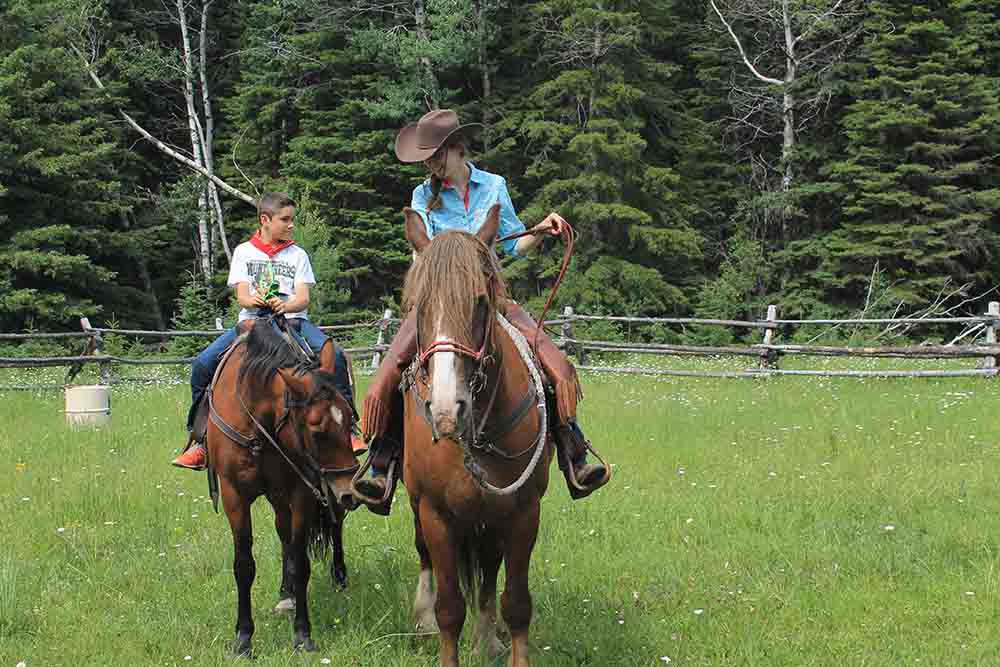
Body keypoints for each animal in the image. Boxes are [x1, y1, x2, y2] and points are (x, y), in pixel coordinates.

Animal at [205, 316, 358, 656]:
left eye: (349, 418)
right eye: (316, 431)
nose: (349, 491)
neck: (258, 424)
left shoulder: (301, 491)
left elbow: (300, 562)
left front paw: (302, 634)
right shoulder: (234, 495)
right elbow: (244, 565)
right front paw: (243, 638)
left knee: (333, 525)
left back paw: (339, 576)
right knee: (283, 534)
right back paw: (285, 593)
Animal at [400, 205, 556, 667]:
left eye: (481, 302)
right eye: (417, 306)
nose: (446, 411)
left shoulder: (523, 512)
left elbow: (515, 603)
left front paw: (497, 638)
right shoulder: (435, 513)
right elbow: (450, 608)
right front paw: (438, 624)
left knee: (488, 572)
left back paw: (488, 636)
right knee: (424, 556)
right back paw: (423, 618)